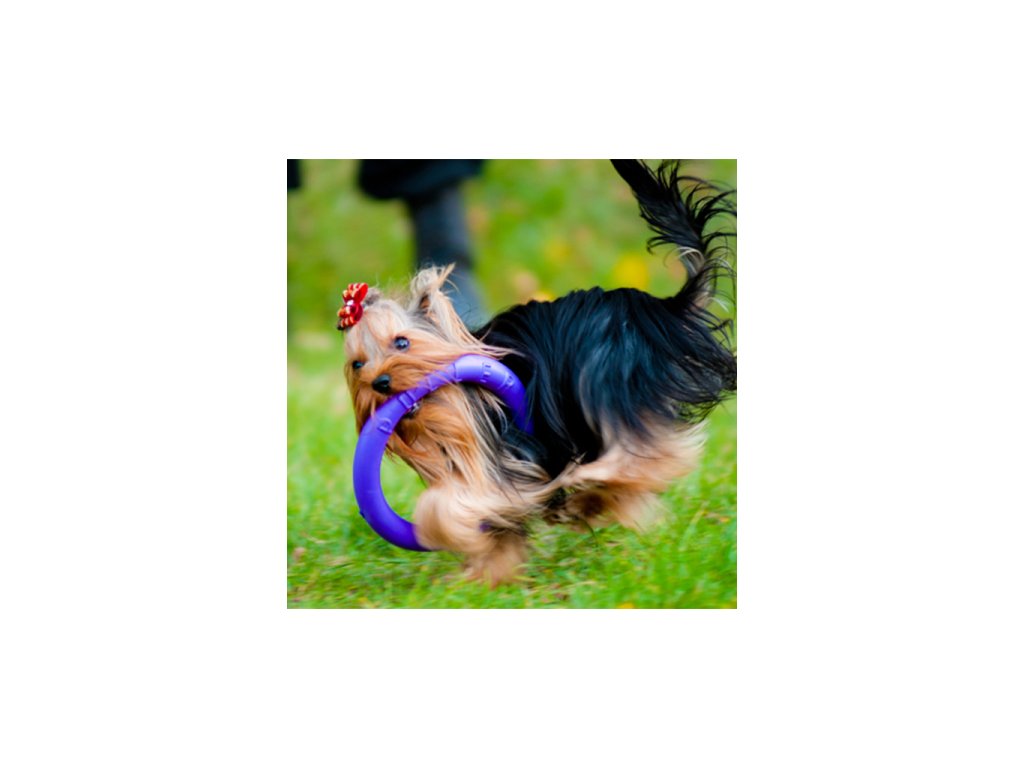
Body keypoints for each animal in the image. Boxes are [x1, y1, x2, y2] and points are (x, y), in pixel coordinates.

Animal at [338, 160, 736, 585]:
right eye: (357, 364)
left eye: (401, 343)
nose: (379, 383)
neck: (454, 415)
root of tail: (659, 310)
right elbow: (496, 531)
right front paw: (482, 579)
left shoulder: (513, 456)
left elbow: (443, 507)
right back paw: (588, 501)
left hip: (605, 376)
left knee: (649, 450)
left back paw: (587, 485)